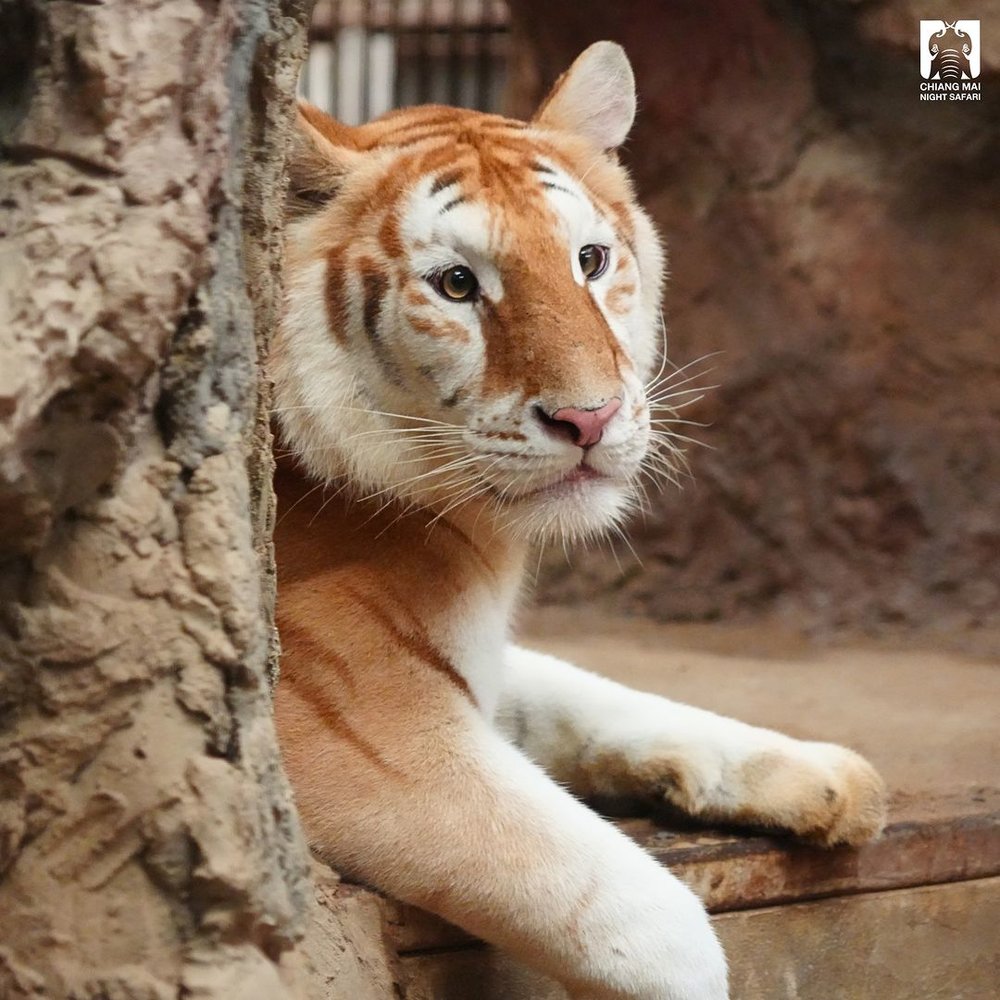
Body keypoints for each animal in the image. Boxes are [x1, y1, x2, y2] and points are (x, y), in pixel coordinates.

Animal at [271, 41, 886, 1000]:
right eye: (457, 285)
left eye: (590, 261)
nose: (589, 419)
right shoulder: (357, 733)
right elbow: (650, 917)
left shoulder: (475, 661)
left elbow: (594, 693)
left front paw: (819, 772)